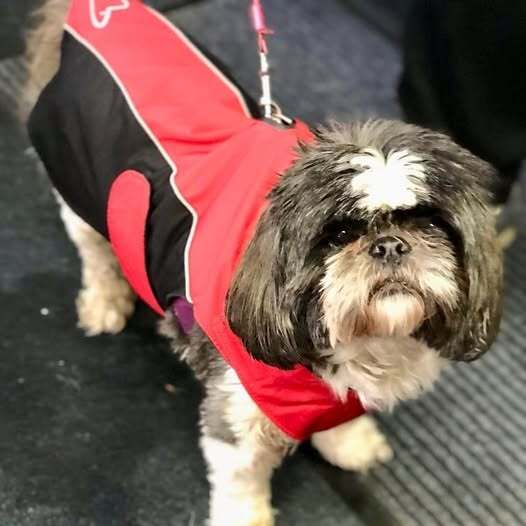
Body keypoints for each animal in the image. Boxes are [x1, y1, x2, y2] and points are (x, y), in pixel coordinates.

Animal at [23, 1, 503, 525]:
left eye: (428, 222)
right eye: (338, 236)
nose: (390, 245)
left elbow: (341, 415)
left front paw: (349, 442)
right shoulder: (236, 415)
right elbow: (241, 479)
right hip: (82, 189)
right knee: (95, 251)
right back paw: (106, 300)